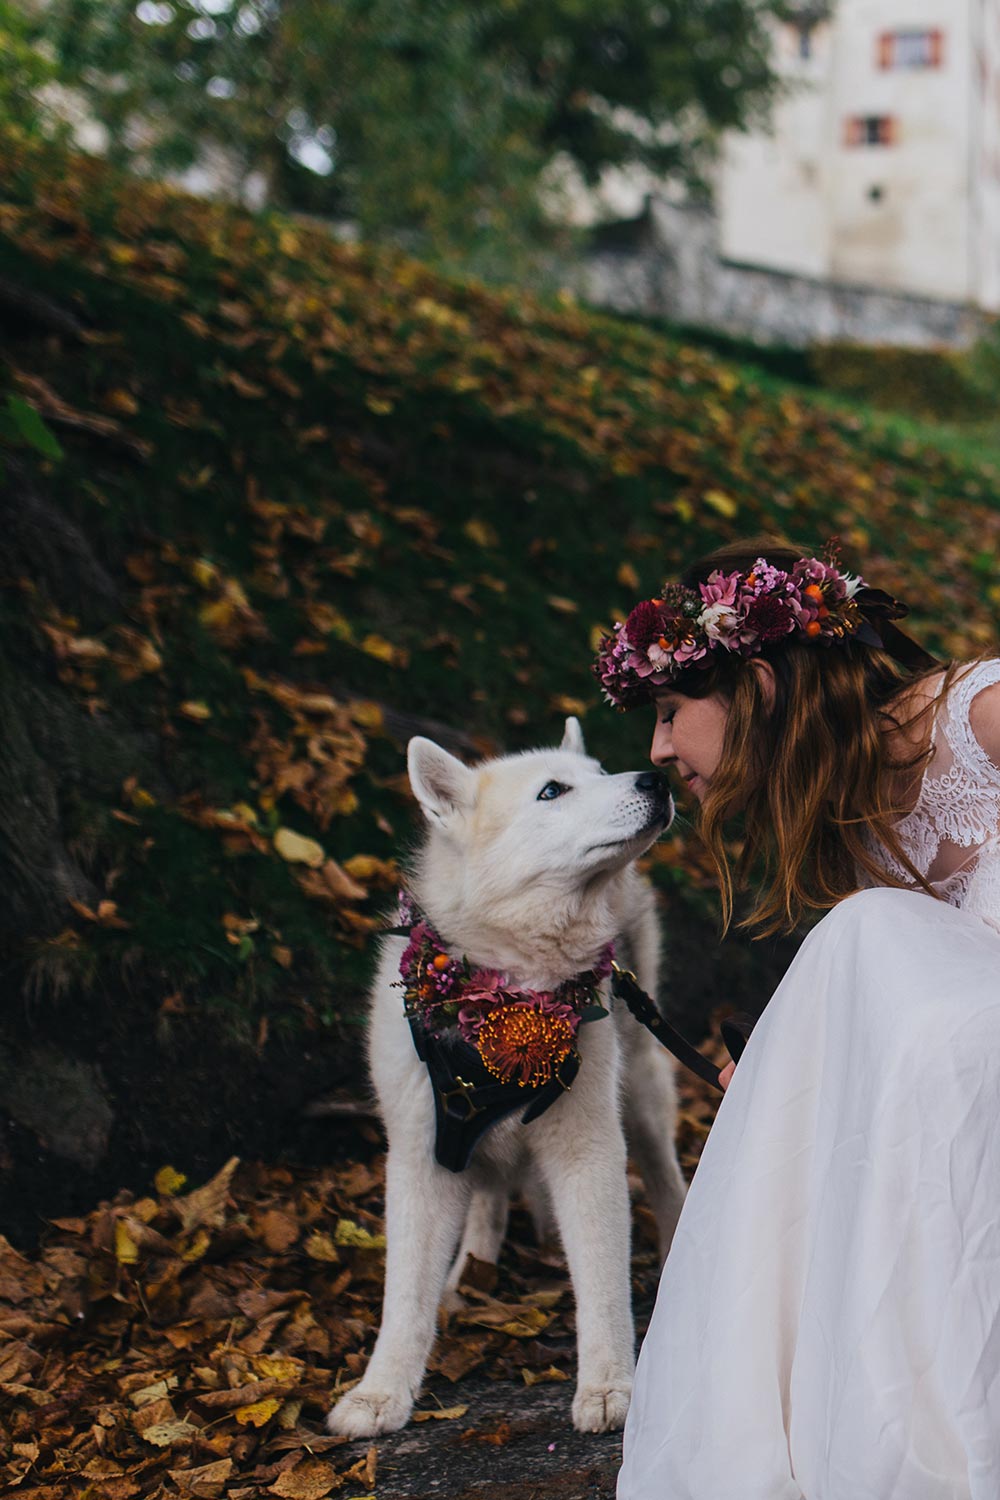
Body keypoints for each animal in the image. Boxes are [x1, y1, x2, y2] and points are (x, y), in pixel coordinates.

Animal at [328, 720, 689, 1434]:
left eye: (600, 772)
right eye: (552, 791)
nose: (656, 779)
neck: (509, 994)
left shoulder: (588, 1149)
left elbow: (601, 1282)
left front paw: (609, 1384)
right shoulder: (421, 1156)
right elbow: (402, 1297)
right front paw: (381, 1393)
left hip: (641, 1090)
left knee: (666, 1178)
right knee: (491, 1193)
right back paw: (473, 1273)